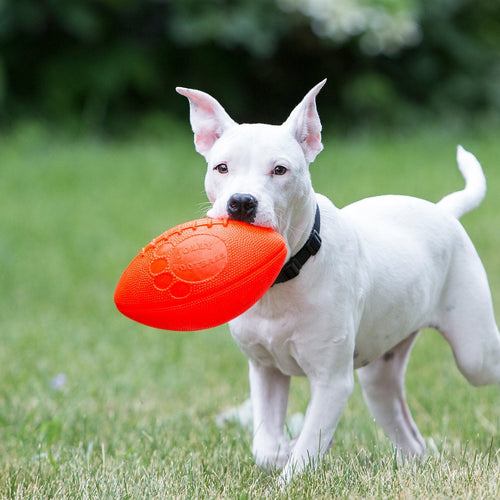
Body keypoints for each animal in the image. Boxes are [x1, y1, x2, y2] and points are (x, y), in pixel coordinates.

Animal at [177, 82, 500, 484]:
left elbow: (307, 448)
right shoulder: (265, 370)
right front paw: (281, 450)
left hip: (477, 355)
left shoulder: (331, 381)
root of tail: (444, 211)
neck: (288, 274)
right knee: (409, 437)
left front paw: (291, 473)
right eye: (221, 167)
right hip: (380, 377)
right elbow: (265, 444)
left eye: (280, 170)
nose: (241, 202)